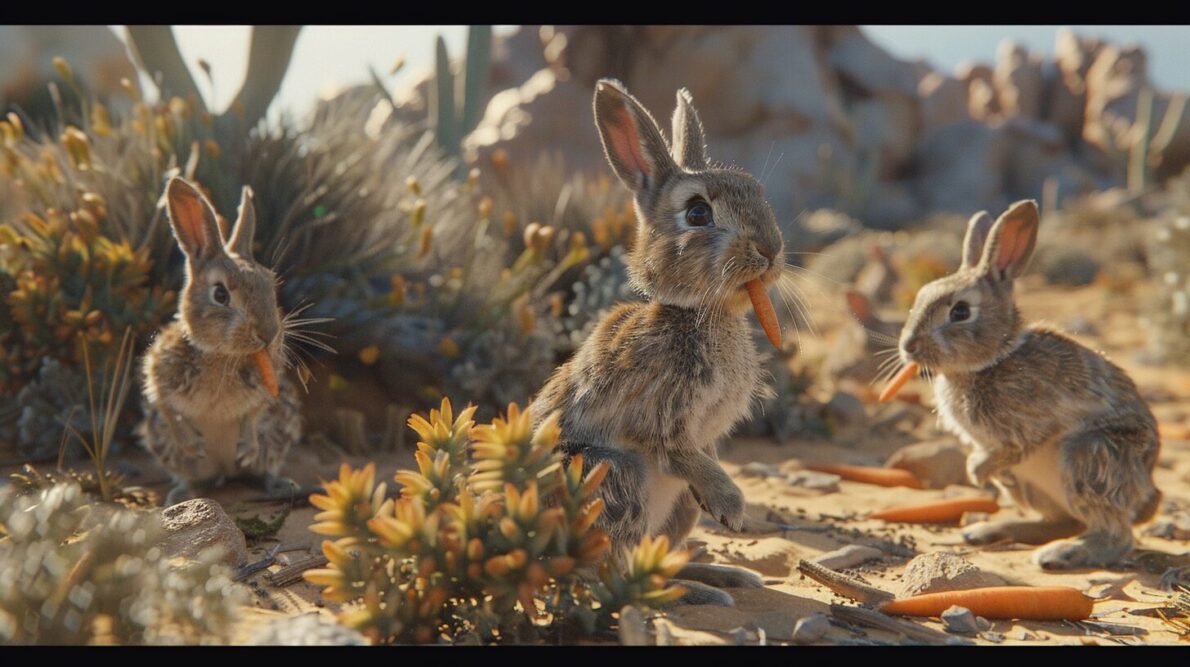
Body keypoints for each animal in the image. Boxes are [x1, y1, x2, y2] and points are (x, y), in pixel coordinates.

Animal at [138, 177, 302, 506]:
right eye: (221, 294)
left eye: (270, 285)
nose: (268, 335)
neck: (222, 356)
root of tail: (224, 471)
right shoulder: (158, 374)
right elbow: (165, 406)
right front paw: (191, 443)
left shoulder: (270, 386)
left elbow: (257, 410)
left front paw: (247, 448)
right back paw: (181, 494)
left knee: (265, 469)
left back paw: (280, 484)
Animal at [529, 80, 782, 605]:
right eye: (697, 212)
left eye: (758, 194)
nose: (771, 249)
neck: (700, 313)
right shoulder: (657, 417)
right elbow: (673, 448)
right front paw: (731, 506)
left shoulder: (705, 438)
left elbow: (704, 455)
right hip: (609, 476)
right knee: (608, 574)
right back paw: (695, 592)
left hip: (676, 509)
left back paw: (719, 579)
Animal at [896, 200, 1161, 570]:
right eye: (919, 297)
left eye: (960, 311)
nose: (908, 347)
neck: (992, 360)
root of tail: (1147, 493)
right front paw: (976, 474)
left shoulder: (1026, 428)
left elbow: (1015, 446)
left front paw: (976, 471)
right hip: (1032, 485)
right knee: (1062, 521)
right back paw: (988, 531)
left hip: (1089, 457)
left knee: (1115, 534)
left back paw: (1062, 553)